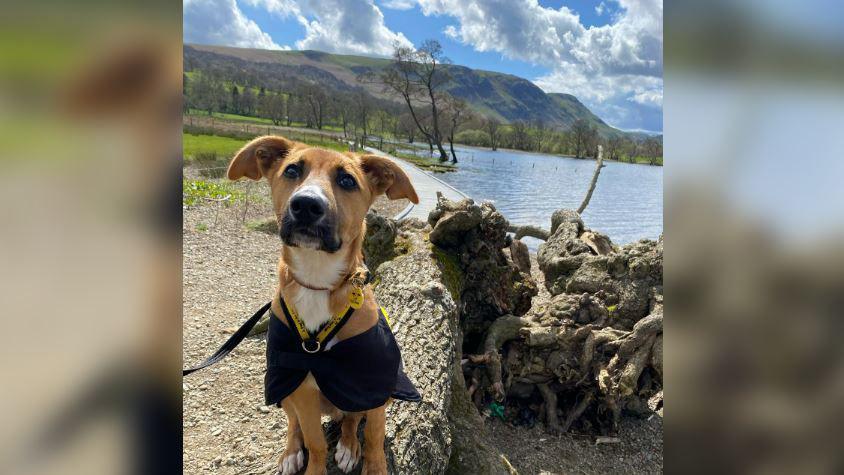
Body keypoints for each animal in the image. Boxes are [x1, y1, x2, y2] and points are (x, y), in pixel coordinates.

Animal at [226, 135, 420, 475]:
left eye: (347, 180)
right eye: (292, 170)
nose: (306, 205)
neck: (318, 282)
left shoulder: (374, 384)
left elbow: (373, 438)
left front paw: (372, 463)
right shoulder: (300, 384)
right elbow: (315, 442)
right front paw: (313, 465)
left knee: (352, 419)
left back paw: (348, 445)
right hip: (285, 387)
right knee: (296, 425)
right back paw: (291, 452)